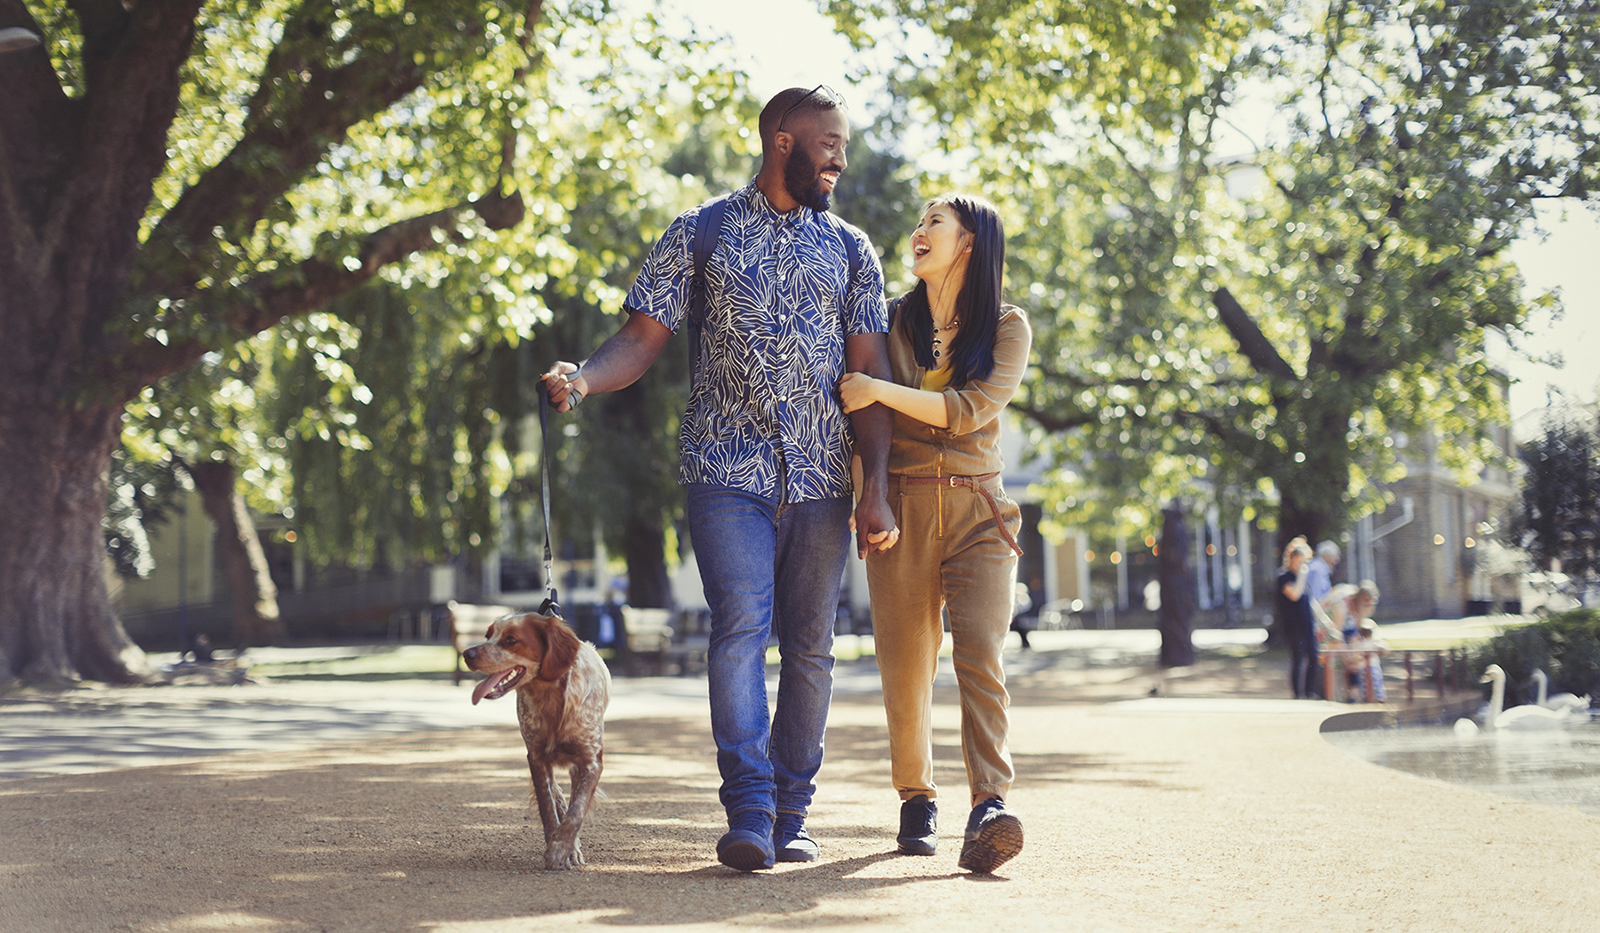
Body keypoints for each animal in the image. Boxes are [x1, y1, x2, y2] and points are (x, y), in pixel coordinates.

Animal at [467, 614, 614, 870]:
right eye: (488, 636)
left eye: (511, 640)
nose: (467, 653)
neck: (551, 698)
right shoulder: (536, 757)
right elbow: (548, 806)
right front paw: (559, 848)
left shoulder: (592, 761)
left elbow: (576, 811)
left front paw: (560, 849)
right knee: (558, 795)